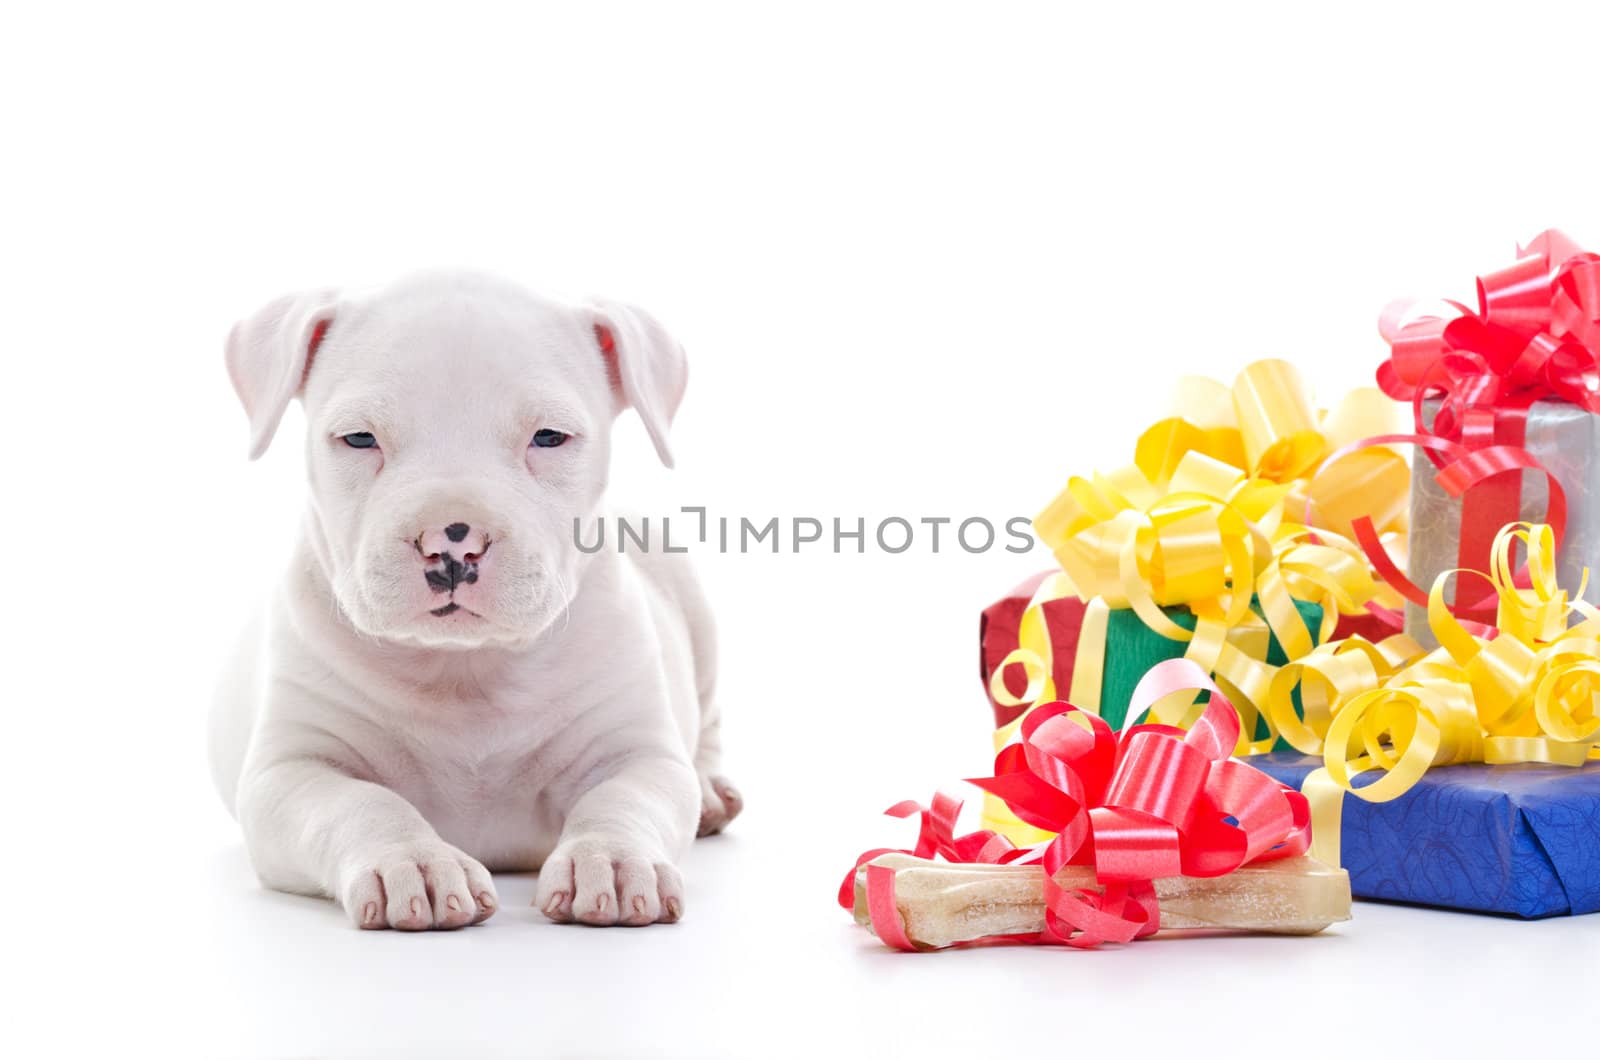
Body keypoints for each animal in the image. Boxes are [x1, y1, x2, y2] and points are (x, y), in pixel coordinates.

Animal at [209, 272, 739, 928]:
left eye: (549, 437)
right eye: (359, 438)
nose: (451, 542)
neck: (465, 667)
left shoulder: (637, 752)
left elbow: (621, 799)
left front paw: (610, 860)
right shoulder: (289, 772)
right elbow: (360, 803)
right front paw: (413, 862)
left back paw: (712, 793)